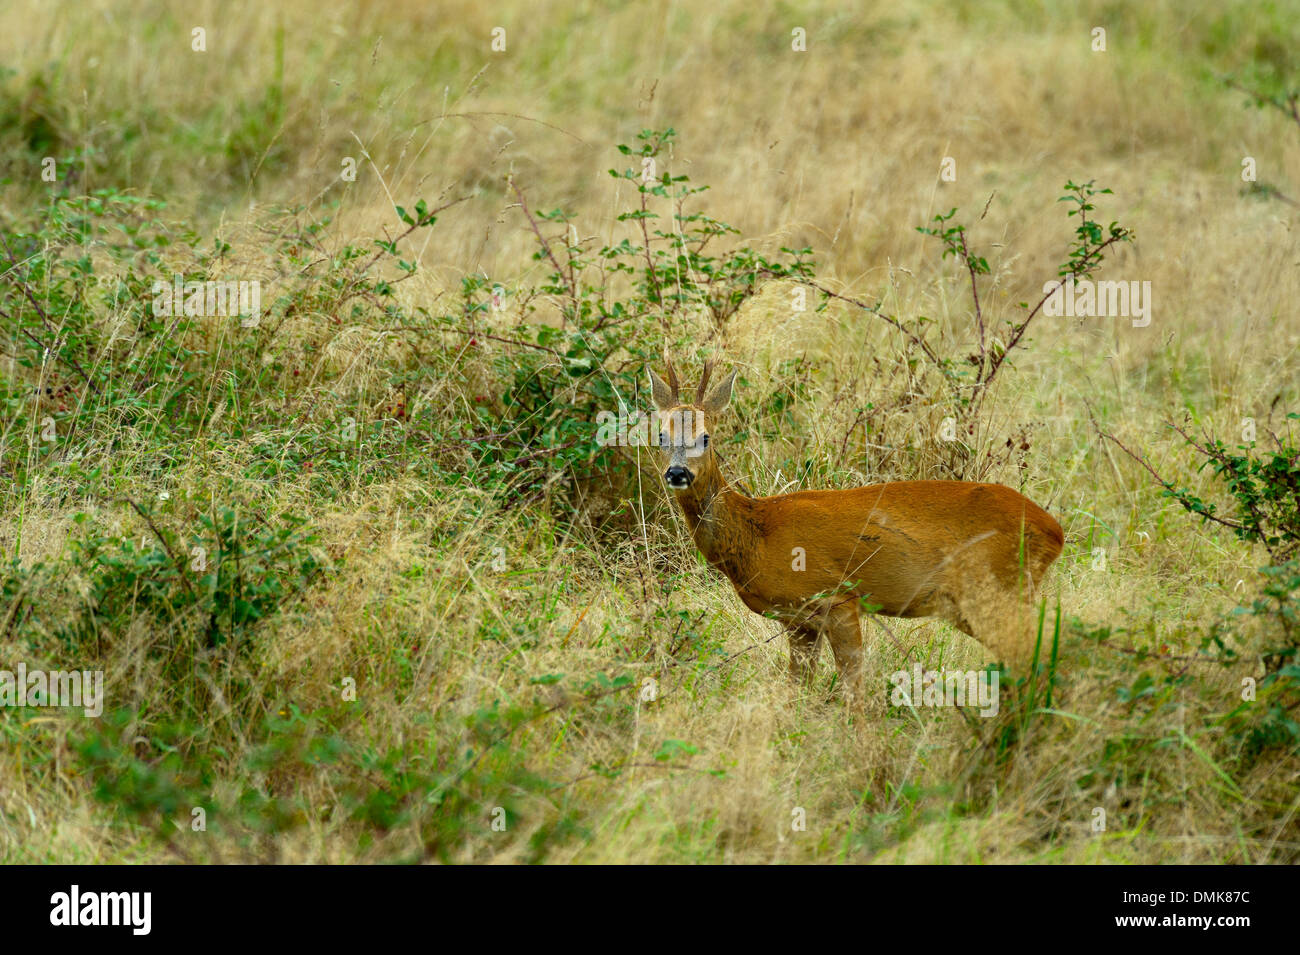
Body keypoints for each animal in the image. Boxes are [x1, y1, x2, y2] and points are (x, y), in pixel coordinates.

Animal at [650, 358, 1066, 712]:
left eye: (705, 437)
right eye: (660, 436)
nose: (677, 473)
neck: (757, 535)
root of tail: (1055, 531)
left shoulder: (837, 597)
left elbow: (853, 688)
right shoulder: (798, 622)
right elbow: (796, 690)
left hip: (992, 588)